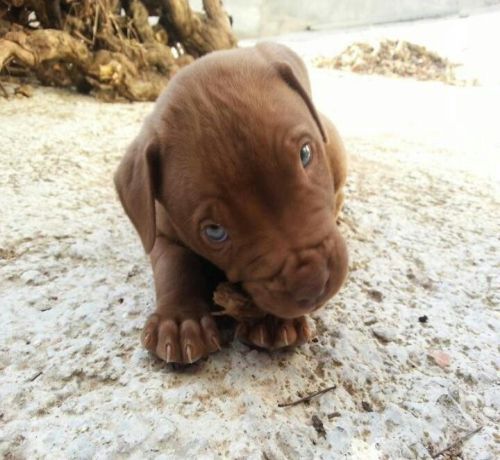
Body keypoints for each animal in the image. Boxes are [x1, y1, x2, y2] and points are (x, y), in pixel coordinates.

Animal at [114, 42, 348, 362]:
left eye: (305, 154)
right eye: (215, 231)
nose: (313, 282)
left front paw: (273, 321)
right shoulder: (160, 234)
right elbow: (174, 267)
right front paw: (180, 320)